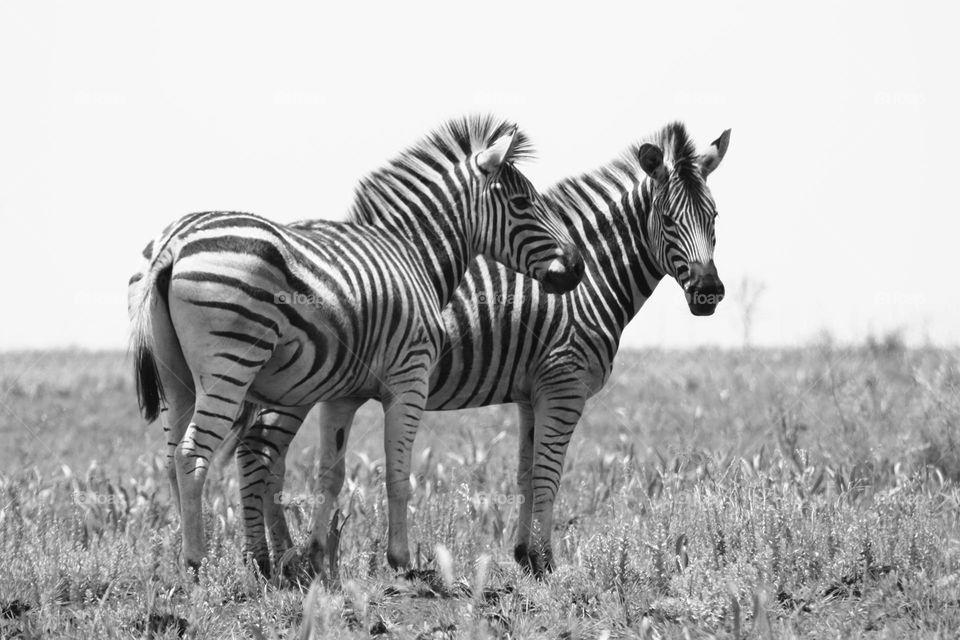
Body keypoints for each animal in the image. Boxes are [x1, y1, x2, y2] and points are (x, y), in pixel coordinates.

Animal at [127, 116, 585, 575]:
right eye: (523, 203)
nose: (577, 268)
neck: (413, 255)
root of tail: (174, 243)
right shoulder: (410, 379)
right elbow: (398, 474)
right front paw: (401, 561)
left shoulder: (341, 395)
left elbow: (330, 474)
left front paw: (315, 559)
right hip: (231, 364)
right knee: (192, 454)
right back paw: (195, 564)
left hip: (176, 378)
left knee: (172, 458)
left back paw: (188, 563)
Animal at [234, 121, 731, 578]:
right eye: (668, 221)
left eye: (715, 218)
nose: (708, 292)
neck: (591, 284)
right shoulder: (564, 385)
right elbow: (549, 475)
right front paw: (547, 562)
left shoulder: (533, 394)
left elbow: (527, 473)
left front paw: (525, 557)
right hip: (297, 380)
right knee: (259, 451)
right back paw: (271, 561)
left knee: (264, 454)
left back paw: (282, 561)